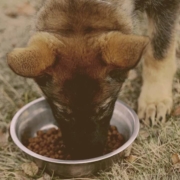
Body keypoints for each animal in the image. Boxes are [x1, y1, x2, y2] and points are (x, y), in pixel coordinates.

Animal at [7, 0, 180, 159]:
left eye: (104, 108)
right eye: (62, 112)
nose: (86, 155)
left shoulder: (166, 6)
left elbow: (158, 51)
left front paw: (154, 100)